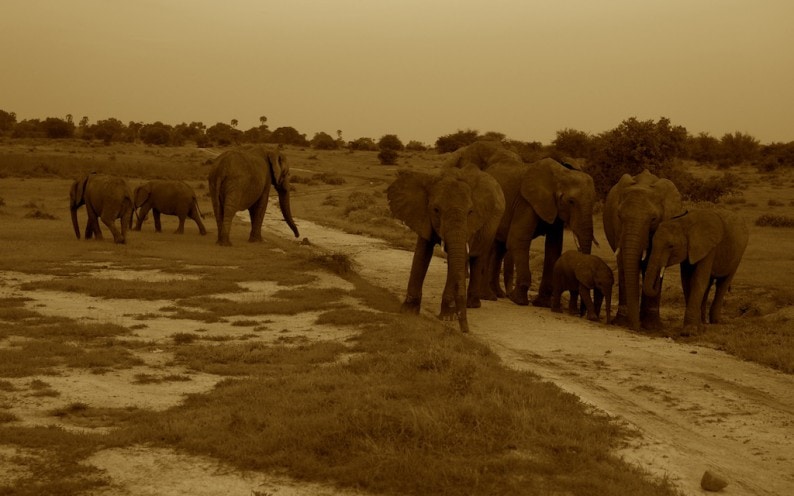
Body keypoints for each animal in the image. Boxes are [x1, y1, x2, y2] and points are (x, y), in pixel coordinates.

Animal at [386, 164, 504, 334]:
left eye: (470, 212)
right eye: (436, 209)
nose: (465, 330)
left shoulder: (471, 224)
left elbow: (459, 258)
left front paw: (448, 317)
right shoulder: (423, 216)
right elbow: (422, 253)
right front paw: (408, 311)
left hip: (492, 224)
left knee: (478, 257)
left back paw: (473, 305)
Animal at [446, 140, 592, 308]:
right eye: (571, 201)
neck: (561, 173)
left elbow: (554, 247)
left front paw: (542, 304)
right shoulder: (525, 202)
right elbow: (518, 240)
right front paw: (519, 300)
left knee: (499, 248)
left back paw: (496, 295)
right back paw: (489, 296)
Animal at [604, 170, 684, 330]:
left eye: (653, 219)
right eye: (619, 216)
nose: (636, 326)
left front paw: (651, 326)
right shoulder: (618, 228)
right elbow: (623, 263)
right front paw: (622, 323)